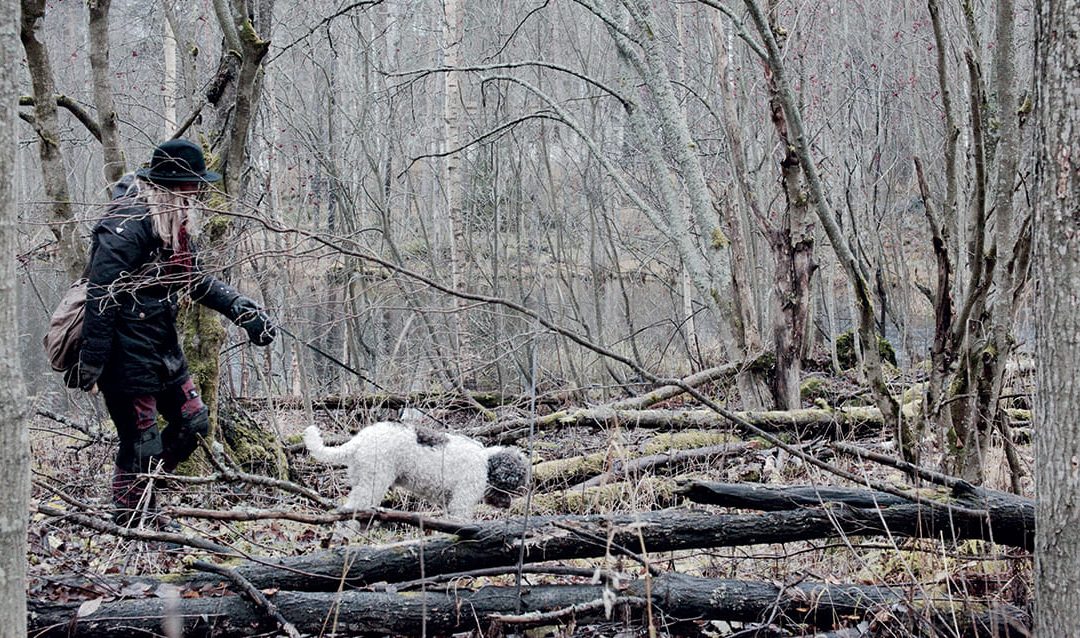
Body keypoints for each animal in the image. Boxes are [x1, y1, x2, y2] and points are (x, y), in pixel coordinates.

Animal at [302, 421, 529, 522]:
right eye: (512, 486)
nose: (508, 505)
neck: (486, 462)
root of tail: (359, 441)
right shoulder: (461, 503)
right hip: (372, 483)